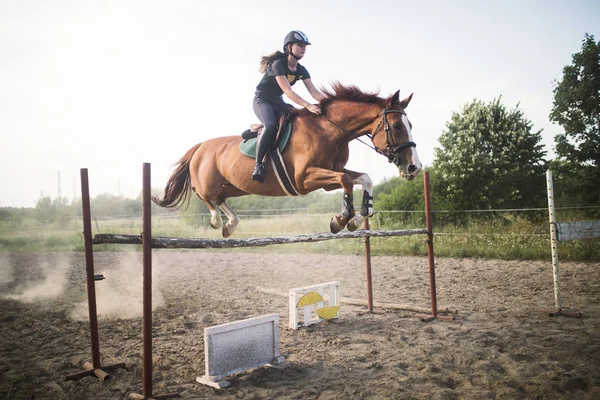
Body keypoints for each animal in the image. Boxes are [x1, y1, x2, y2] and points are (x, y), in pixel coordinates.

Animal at [150, 82, 422, 238]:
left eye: (410, 125)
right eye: (397, 126)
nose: (414, 168)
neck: (330, 131)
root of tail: (200, 147)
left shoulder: (327, 176)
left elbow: (363, 178)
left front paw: (358, 217)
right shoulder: (304, 179)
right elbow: (346, 180)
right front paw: (341, 218)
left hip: (236, 187)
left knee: (220, 197)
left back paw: (231, 224)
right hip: (208, 183)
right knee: (202, 193)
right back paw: (219, 221)